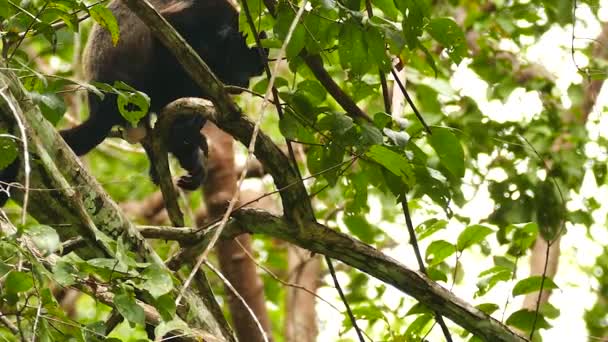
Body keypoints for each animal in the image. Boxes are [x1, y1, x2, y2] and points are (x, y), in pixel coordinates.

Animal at [0, 0, 266, 206]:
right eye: (246, 65)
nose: (245, 84)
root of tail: (104, 103)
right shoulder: (206, 15)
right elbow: (170, 31)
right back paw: (183, 137)